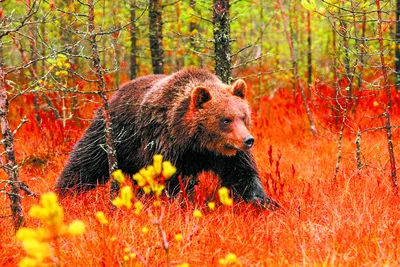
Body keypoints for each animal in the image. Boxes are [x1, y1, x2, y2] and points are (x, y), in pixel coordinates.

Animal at [55, 68, 278, 210]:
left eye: (243, 116)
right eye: (225, 119)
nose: (248, 140)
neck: (196, 143)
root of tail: (116, 93)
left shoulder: (226, 154)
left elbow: (242, 174)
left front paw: (264, 202)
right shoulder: (165, 146)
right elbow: (169, 181)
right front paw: (179, 204)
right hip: (113, 133)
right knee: (85, 162)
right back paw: (63, 193)